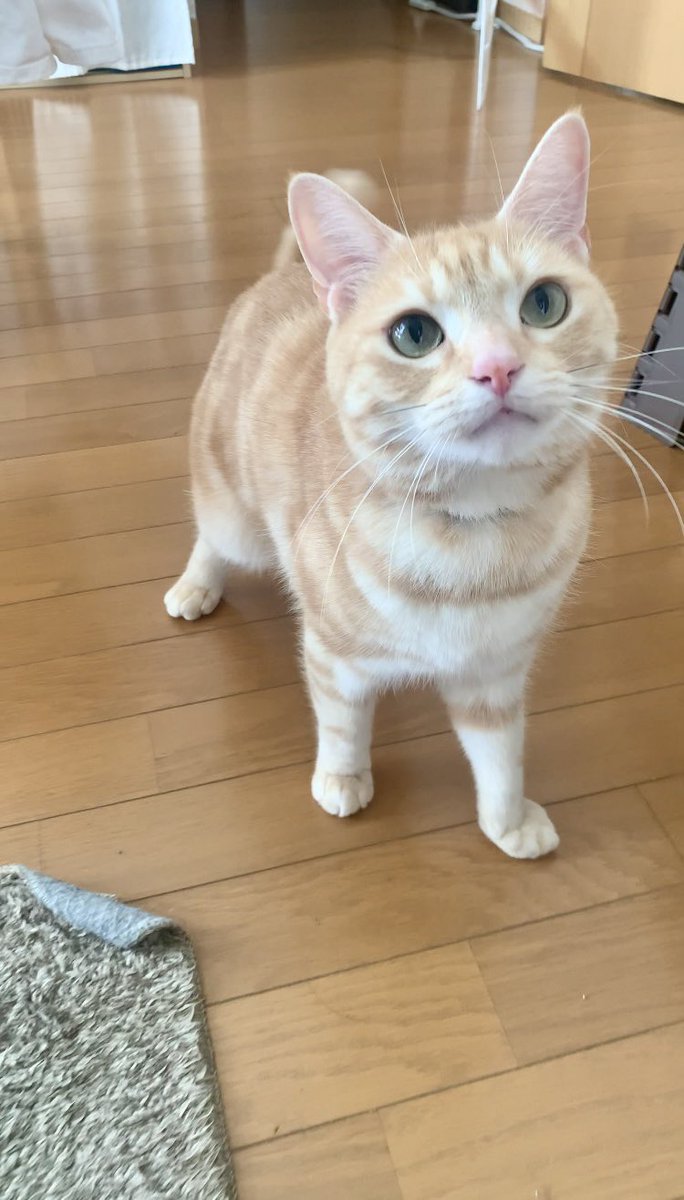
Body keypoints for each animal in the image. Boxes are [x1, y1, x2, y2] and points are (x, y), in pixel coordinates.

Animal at [164, 111, 618, 859]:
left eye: (544, 303)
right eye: (414, 334)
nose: (498, 367)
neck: (472, 534)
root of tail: (283, 273)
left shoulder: (494, 676)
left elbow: (501, 756)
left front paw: (507, 821)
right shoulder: (335, 656)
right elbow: (343, 725)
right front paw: (343, 780)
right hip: (237, 517)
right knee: (211, 537)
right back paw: (196, 587)